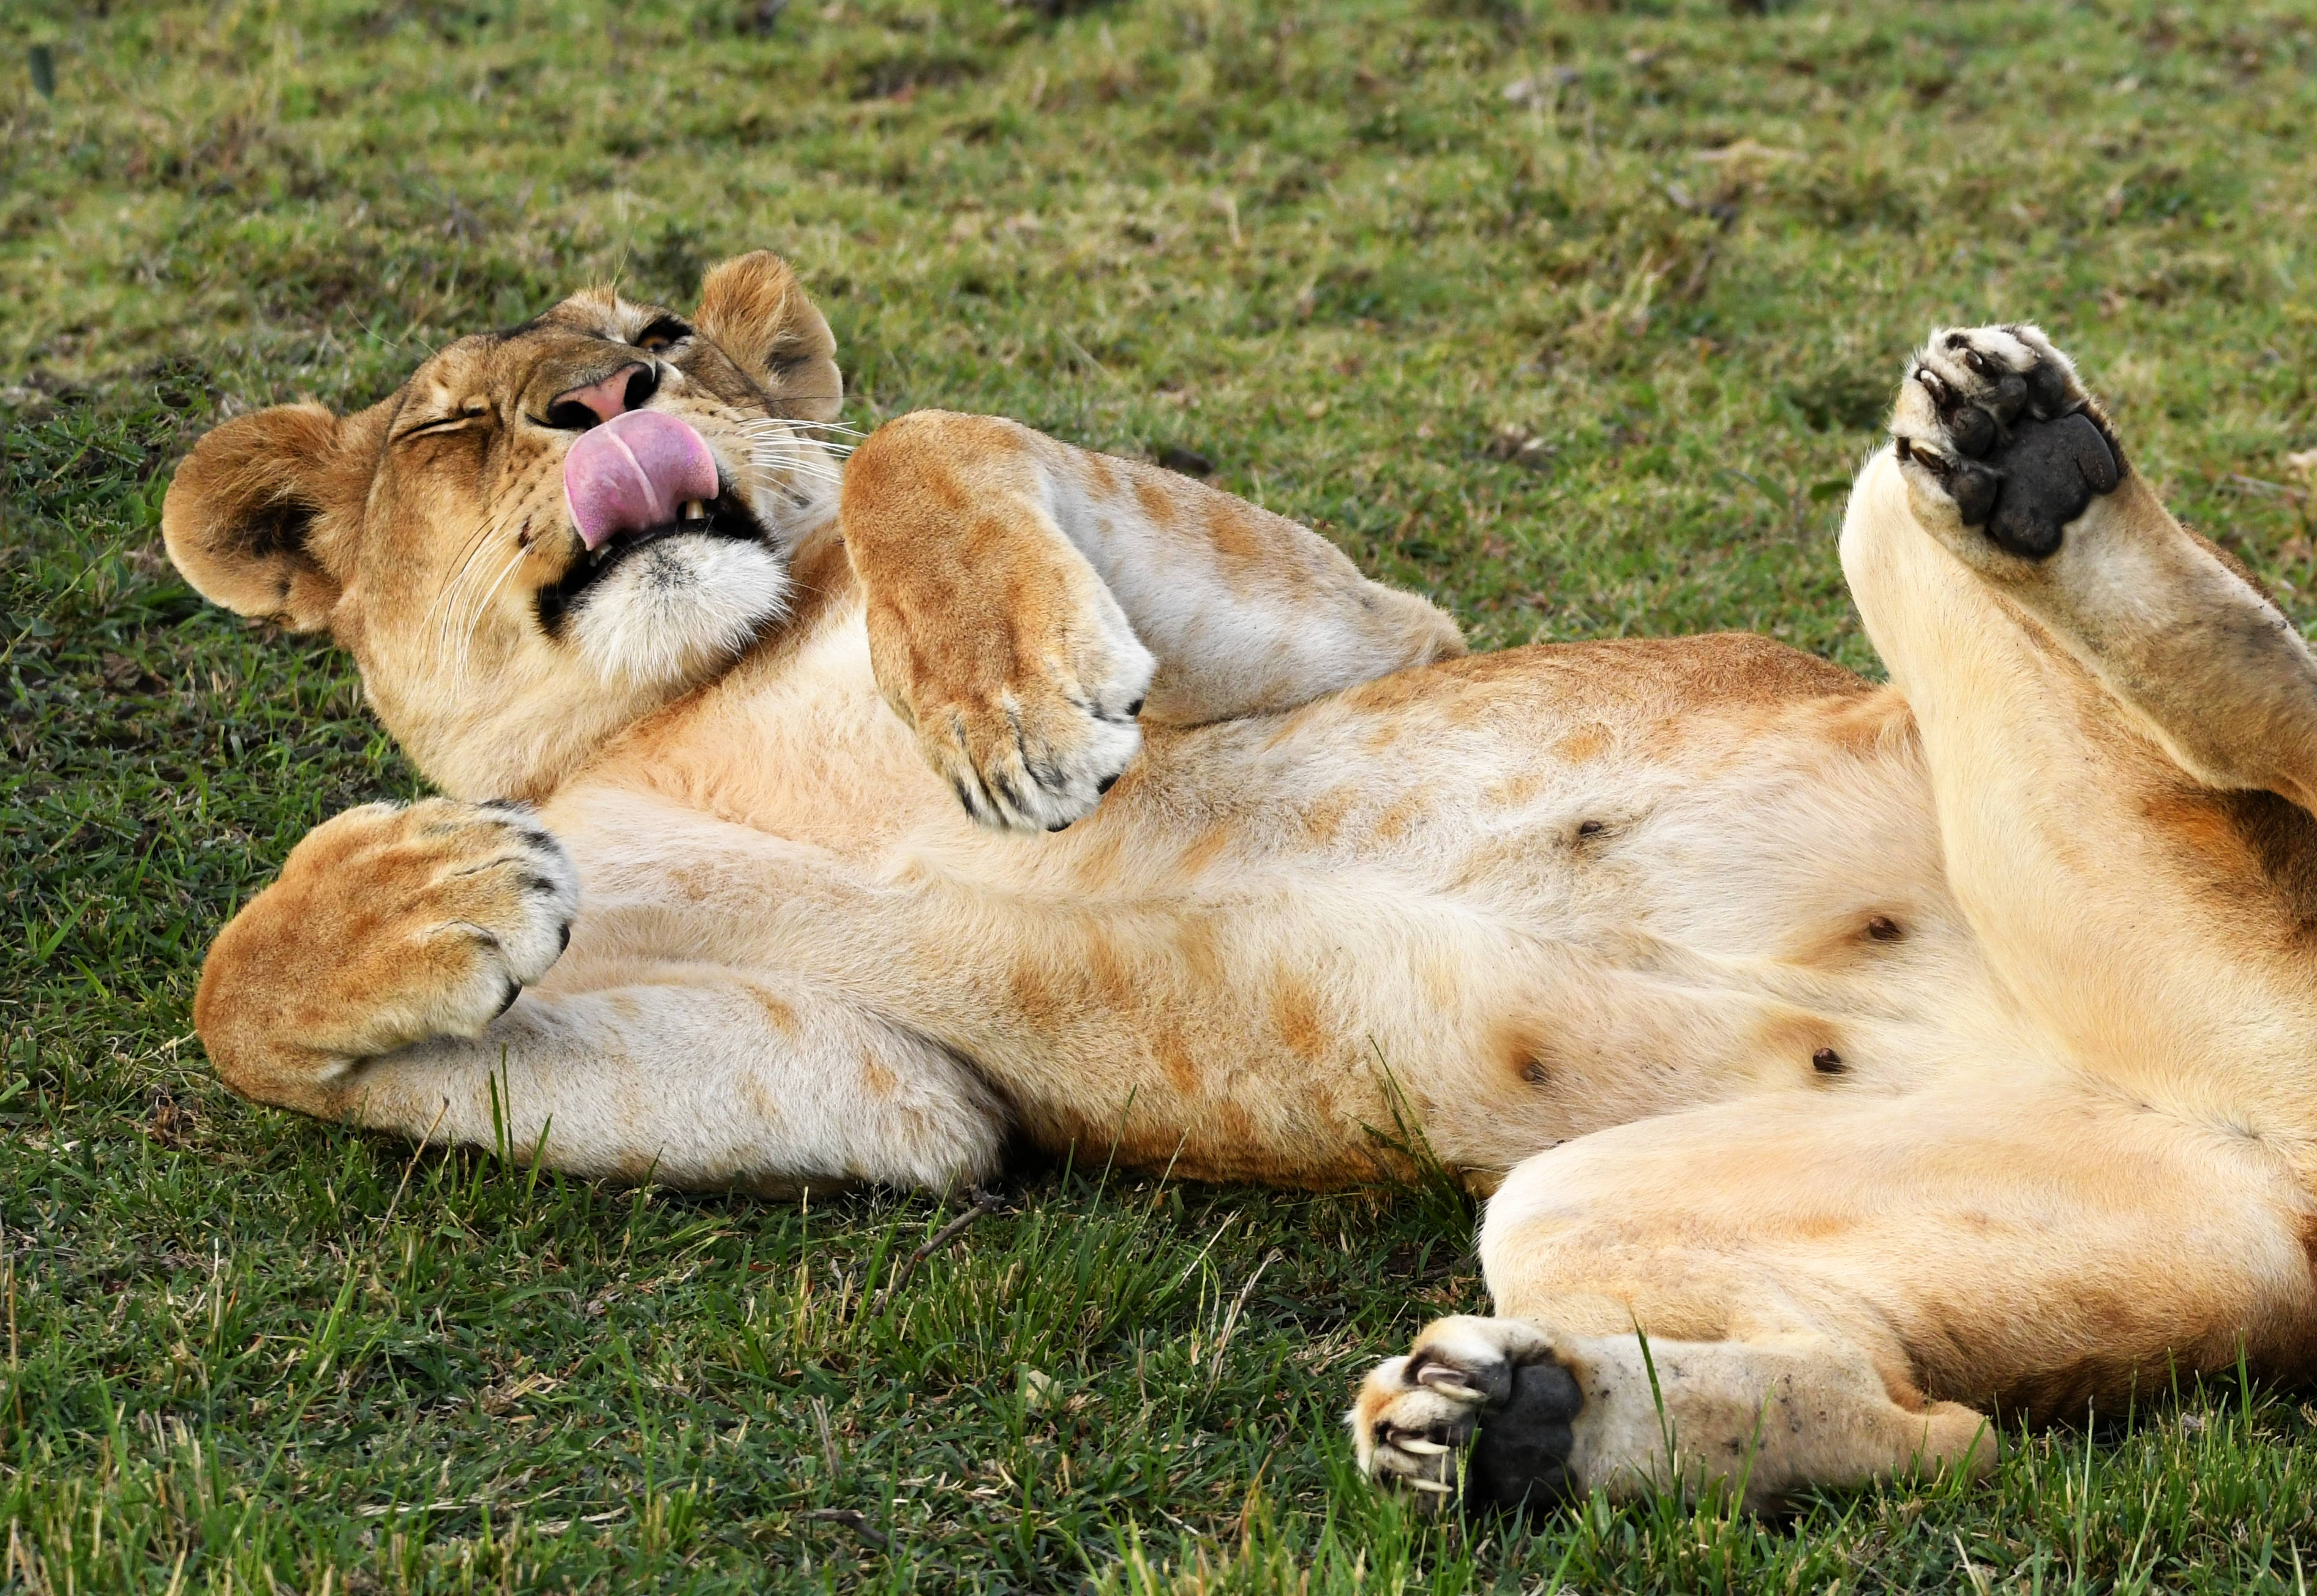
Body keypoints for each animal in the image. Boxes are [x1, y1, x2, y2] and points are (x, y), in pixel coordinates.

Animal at [163, 251, 2317, 1513]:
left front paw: (1011, 711)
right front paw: (431, 886)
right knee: (1937, 1431)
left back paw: (2024, 449)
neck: (676, 699)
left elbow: (927, 441)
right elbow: (228, 999)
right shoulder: (891, 1094)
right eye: (458, 418)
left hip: (1910, 554)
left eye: (661, 343)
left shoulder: (1352, 628)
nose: (611, 412)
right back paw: (1510, 1432)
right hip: (1609, 1200)